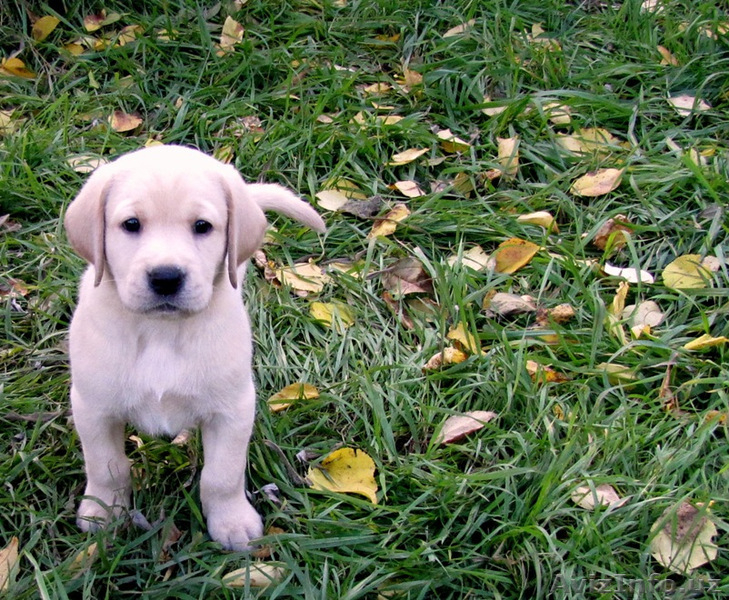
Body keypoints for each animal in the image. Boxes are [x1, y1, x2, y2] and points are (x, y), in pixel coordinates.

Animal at [64, 144, 326, 548]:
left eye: (202, 226)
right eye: (131, 224)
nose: (166, 277)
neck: (160, 332)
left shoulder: (233, 410)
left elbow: (223, 476)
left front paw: (232, 522)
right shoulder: (93, 407)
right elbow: (106, 466)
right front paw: (103, 512)